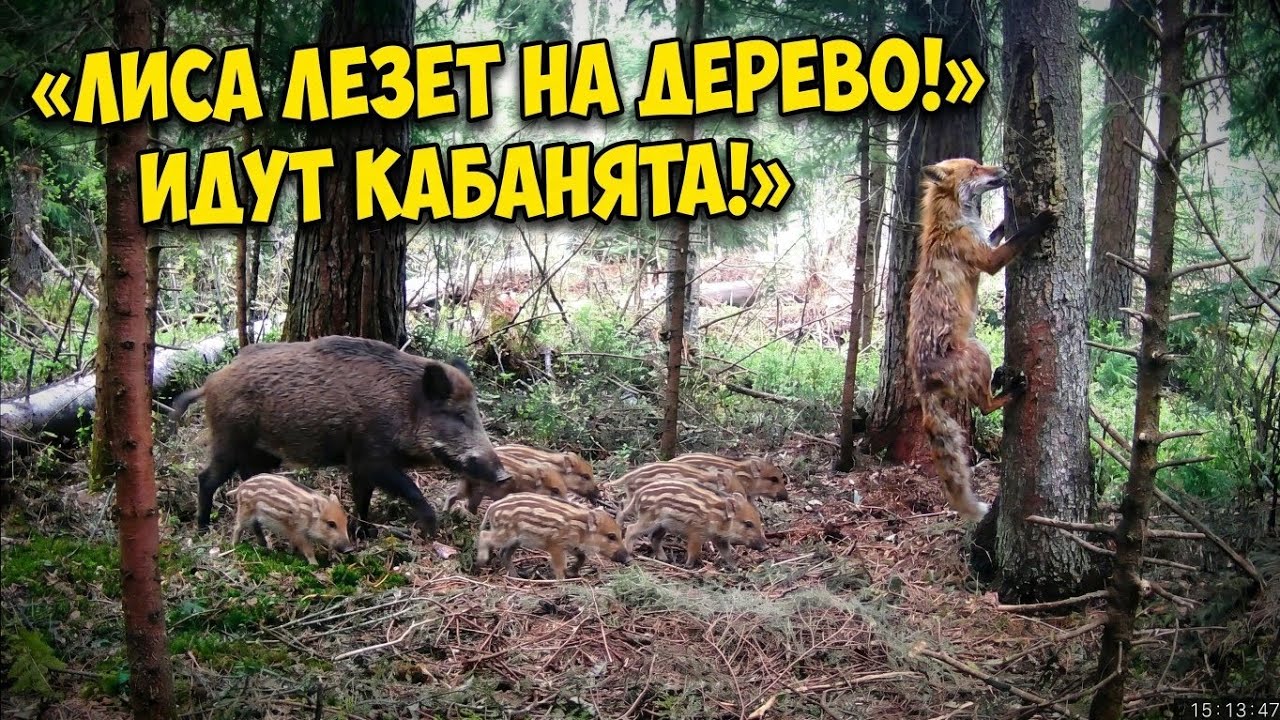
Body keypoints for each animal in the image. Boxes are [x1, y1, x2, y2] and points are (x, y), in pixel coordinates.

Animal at [907, 158, 1056, 520]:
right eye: (975, 168)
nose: (1004, 170)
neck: (951, 223)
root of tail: (921, 385)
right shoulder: (987, 261)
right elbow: (1017, 240)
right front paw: (1040, 220)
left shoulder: (983, 244)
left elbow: (996, 234)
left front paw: (1002, 221)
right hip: (978, 350)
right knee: (986, 408)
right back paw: (1011, 390)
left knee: (983, 397)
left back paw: (1002, 377)